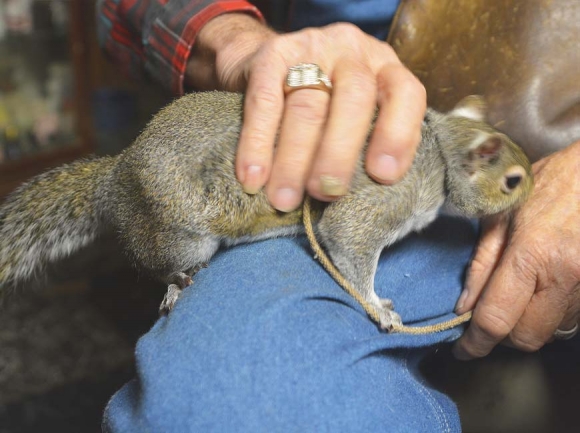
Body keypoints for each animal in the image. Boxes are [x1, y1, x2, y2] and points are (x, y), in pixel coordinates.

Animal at [0, 90, 532, 328]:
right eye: (513, 180)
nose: (533, 192)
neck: (439, 154)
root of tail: (117, 175)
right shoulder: (378, 201)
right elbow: (348, 244)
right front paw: (379, 309)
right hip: (178, 236)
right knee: (157, 266)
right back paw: (173, 285)